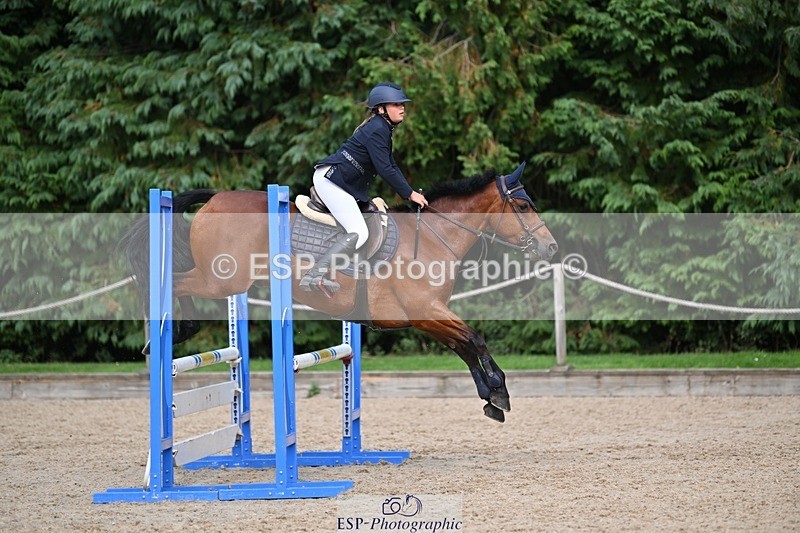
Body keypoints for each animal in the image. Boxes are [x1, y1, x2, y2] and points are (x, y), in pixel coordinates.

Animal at [123, 164, 558, 422]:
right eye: (523, 205)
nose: (550, 247)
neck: (437, 236)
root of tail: (215, 197)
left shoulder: (428, 316)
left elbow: (465, 345)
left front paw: (491, 397)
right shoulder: (425, 311)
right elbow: (475, 339)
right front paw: (499, 389)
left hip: (226, 281)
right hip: (222, 281)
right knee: (173, 282)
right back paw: (173, 332)